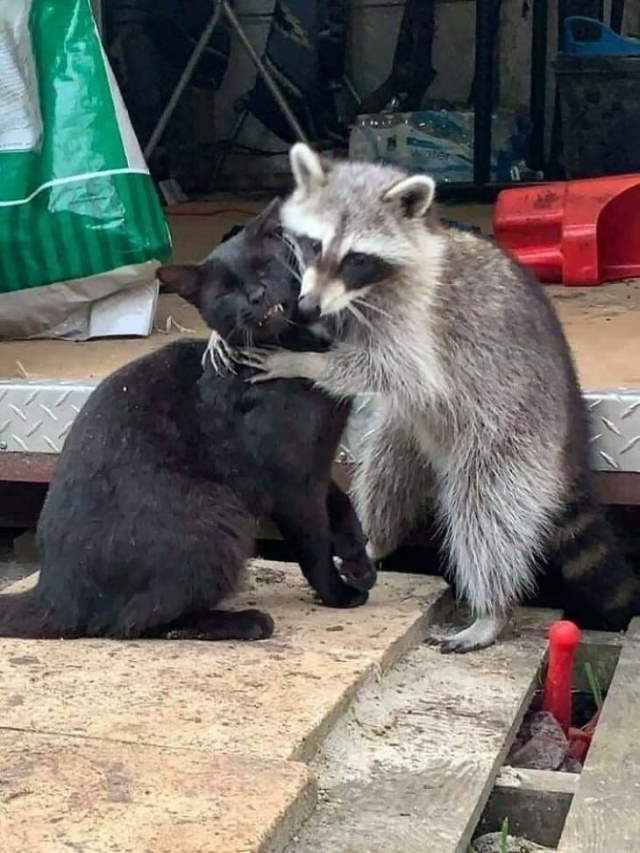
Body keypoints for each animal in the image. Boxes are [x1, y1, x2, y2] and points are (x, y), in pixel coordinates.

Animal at [239, 143, 640, 652]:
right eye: (313, 244)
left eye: (356, 258)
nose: (308, 306)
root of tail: (570, 416)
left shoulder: (418, 322)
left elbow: (390, 368)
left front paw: (302, 363)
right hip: (408, 430)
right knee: (385, 476)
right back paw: (374, 539)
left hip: (512, 435)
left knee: (487, 512)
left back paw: (492, 608)